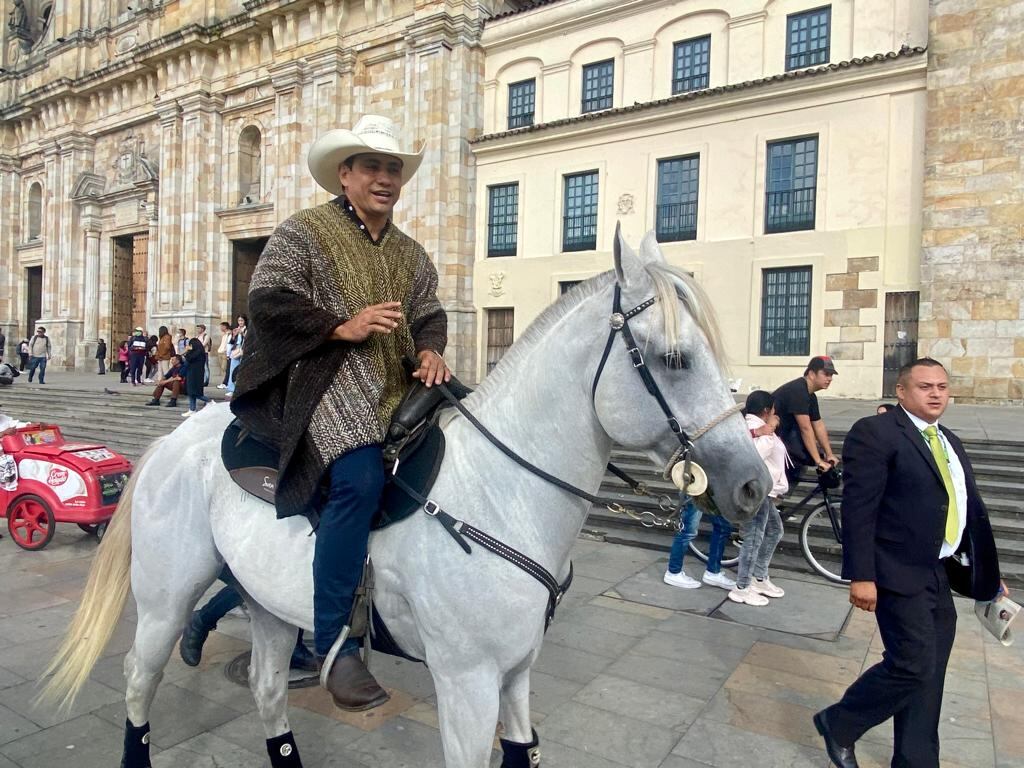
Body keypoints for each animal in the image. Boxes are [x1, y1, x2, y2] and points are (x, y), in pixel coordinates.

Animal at [43, 226, 771, 768]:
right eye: (675, 358)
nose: (753, 485)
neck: (498, 493)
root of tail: (175, 438)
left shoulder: (516, 675)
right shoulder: (466, 681)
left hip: (268, 599)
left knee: (268, 690)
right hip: (164, 595)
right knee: (140, 680)